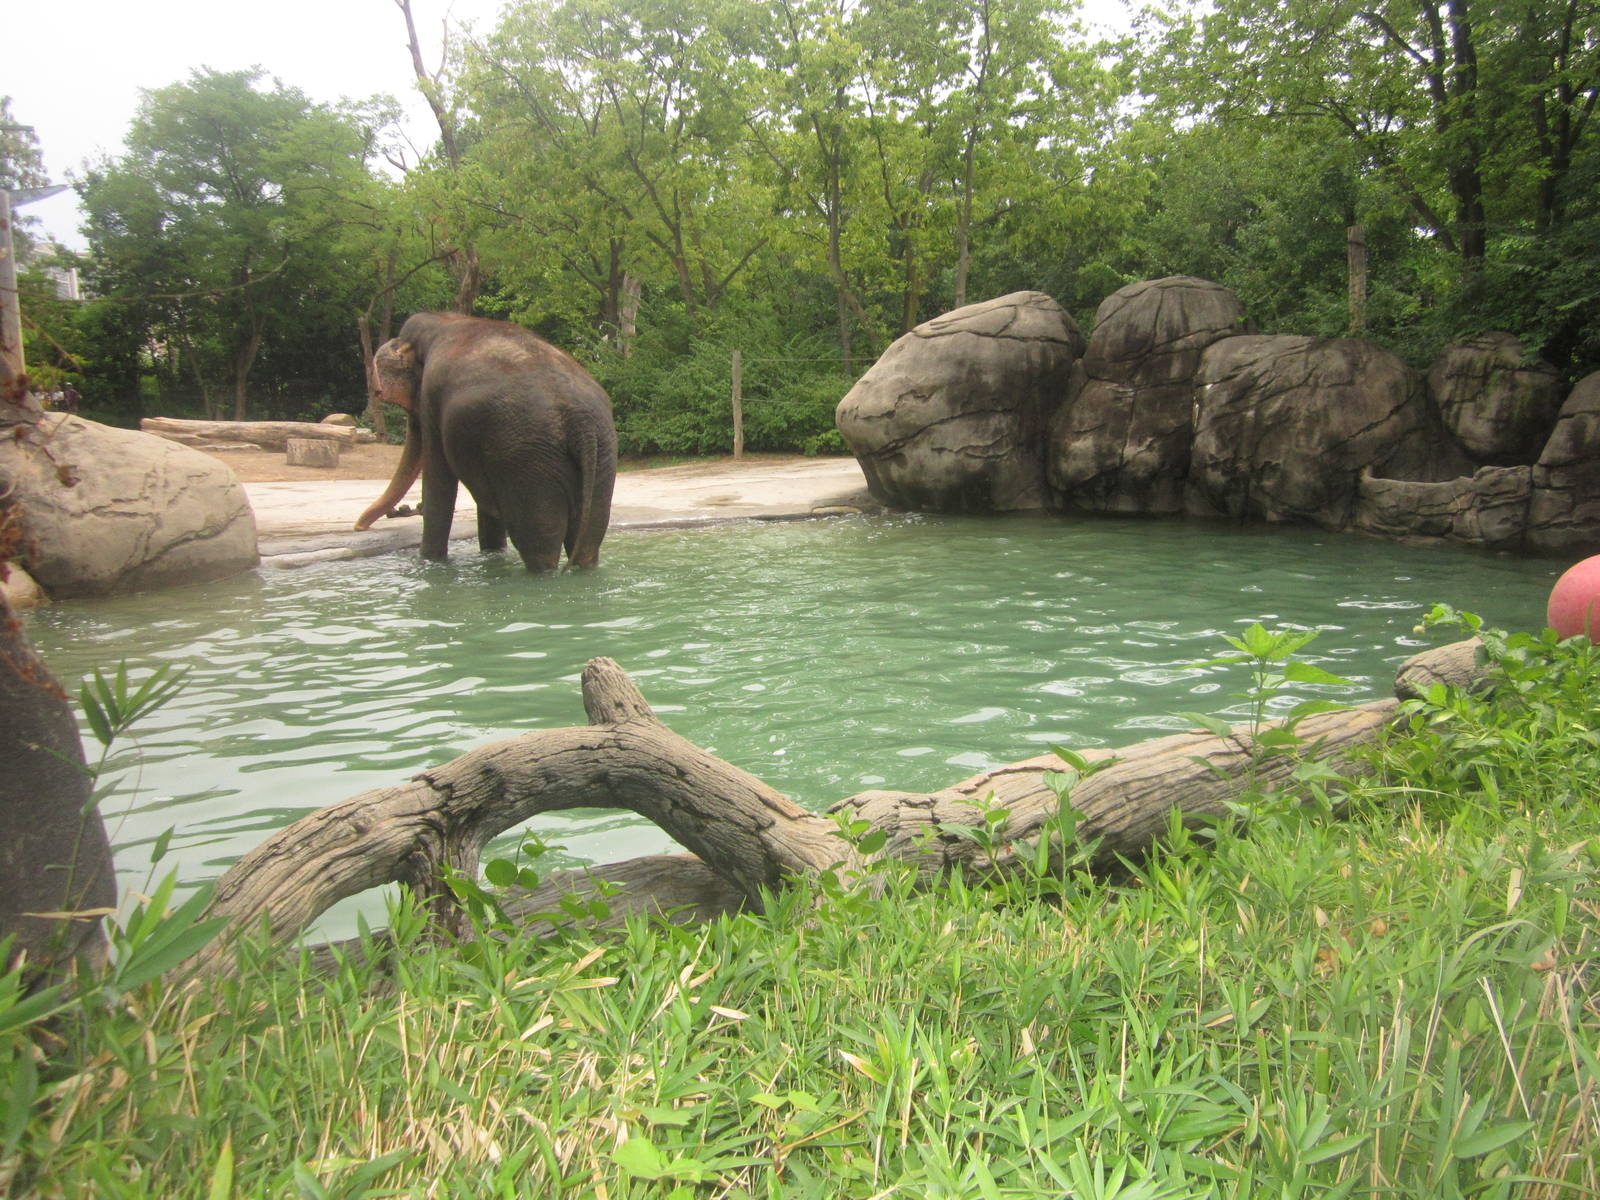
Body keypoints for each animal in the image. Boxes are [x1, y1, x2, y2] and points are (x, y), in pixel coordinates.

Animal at [354, 313, 618, 571]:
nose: (358, 528)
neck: (441, 319)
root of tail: (580, 420)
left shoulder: (431, 397)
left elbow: (438, 481)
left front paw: (429, 562)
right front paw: (492, 554)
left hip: (526, 460)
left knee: (540, 544)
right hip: (599, 452)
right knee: (587, 541)